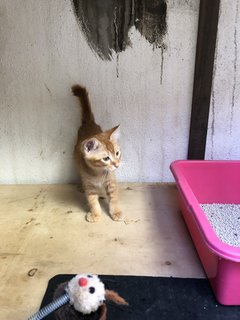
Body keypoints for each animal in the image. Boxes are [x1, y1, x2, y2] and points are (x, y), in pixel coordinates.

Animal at [71, 84, 123, 221]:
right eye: (106, 158)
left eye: (117, 153)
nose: (117, 165)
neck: (99, 173)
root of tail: (89, 123)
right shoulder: (89, 185)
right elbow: (92, 200)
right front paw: (95, 213)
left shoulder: (111, 181)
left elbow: (114, 198)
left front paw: (116, 211)